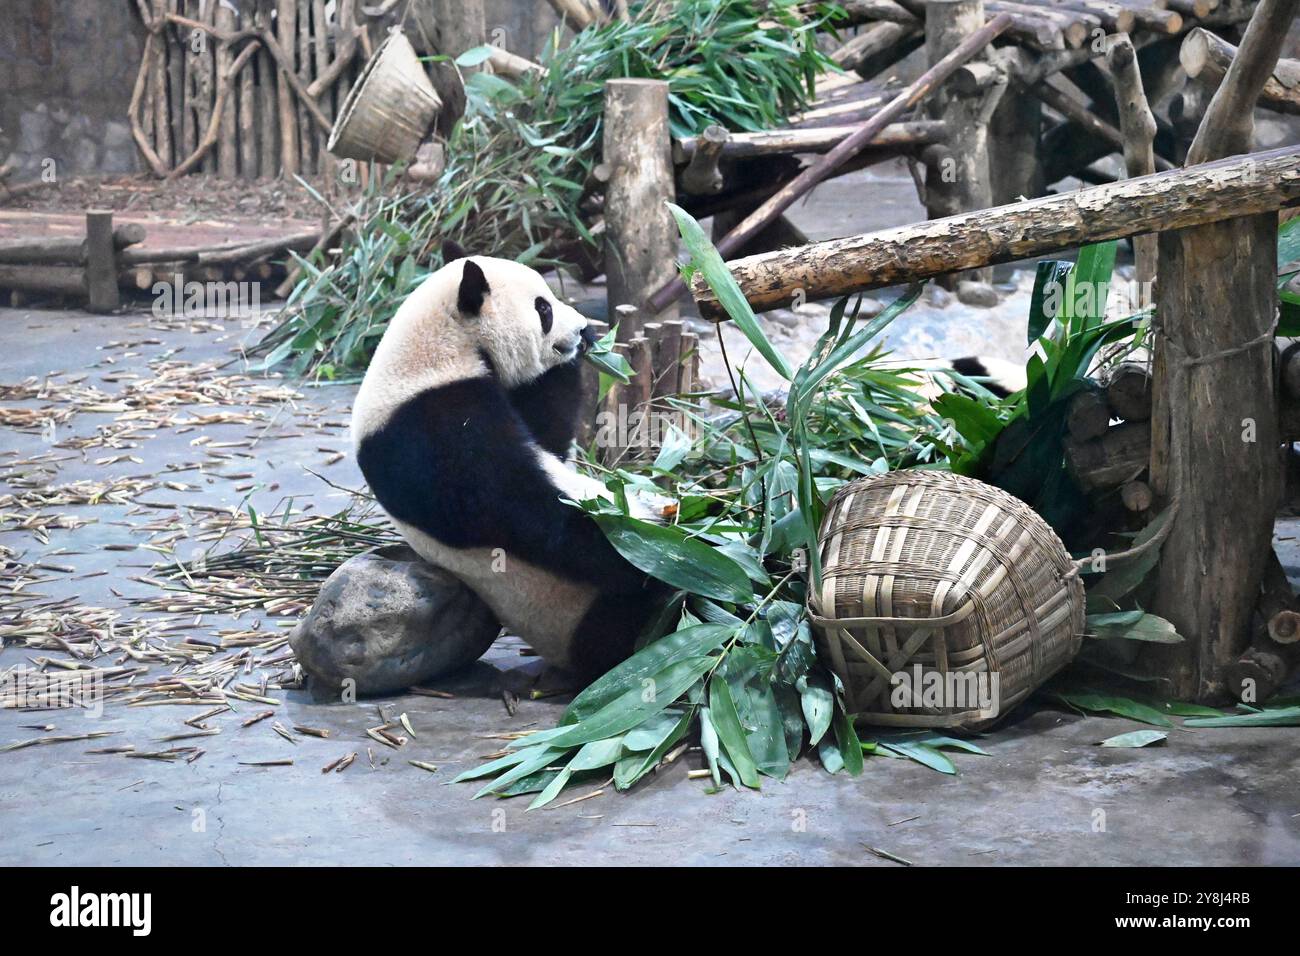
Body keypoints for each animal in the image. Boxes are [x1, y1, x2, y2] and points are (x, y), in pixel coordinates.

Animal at [351, 241, 668, 680]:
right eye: (543, 309)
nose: (583, 330)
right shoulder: (428, 424)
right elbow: (524, 512)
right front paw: (654, 550)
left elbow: (549, 437)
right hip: (579, 617)